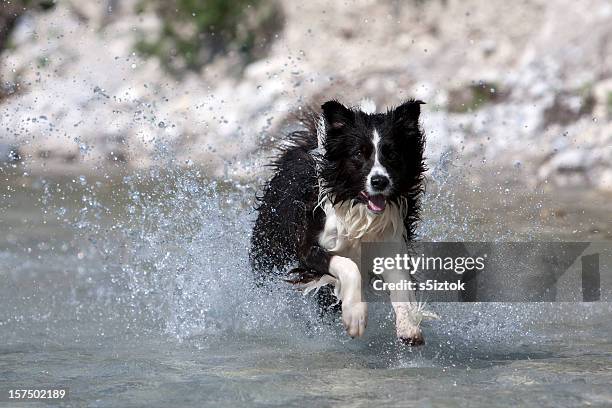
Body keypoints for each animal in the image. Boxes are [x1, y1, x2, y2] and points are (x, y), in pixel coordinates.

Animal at [251, 99, 428, 344]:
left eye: (392, 154)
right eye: (359, 154)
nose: (380, 181)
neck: (358, 208)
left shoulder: (390, 240)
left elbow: (400, 283)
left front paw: (408, 325)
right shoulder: (309, 246)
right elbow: (348, 266)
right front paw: (355, 315)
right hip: (270, 247)